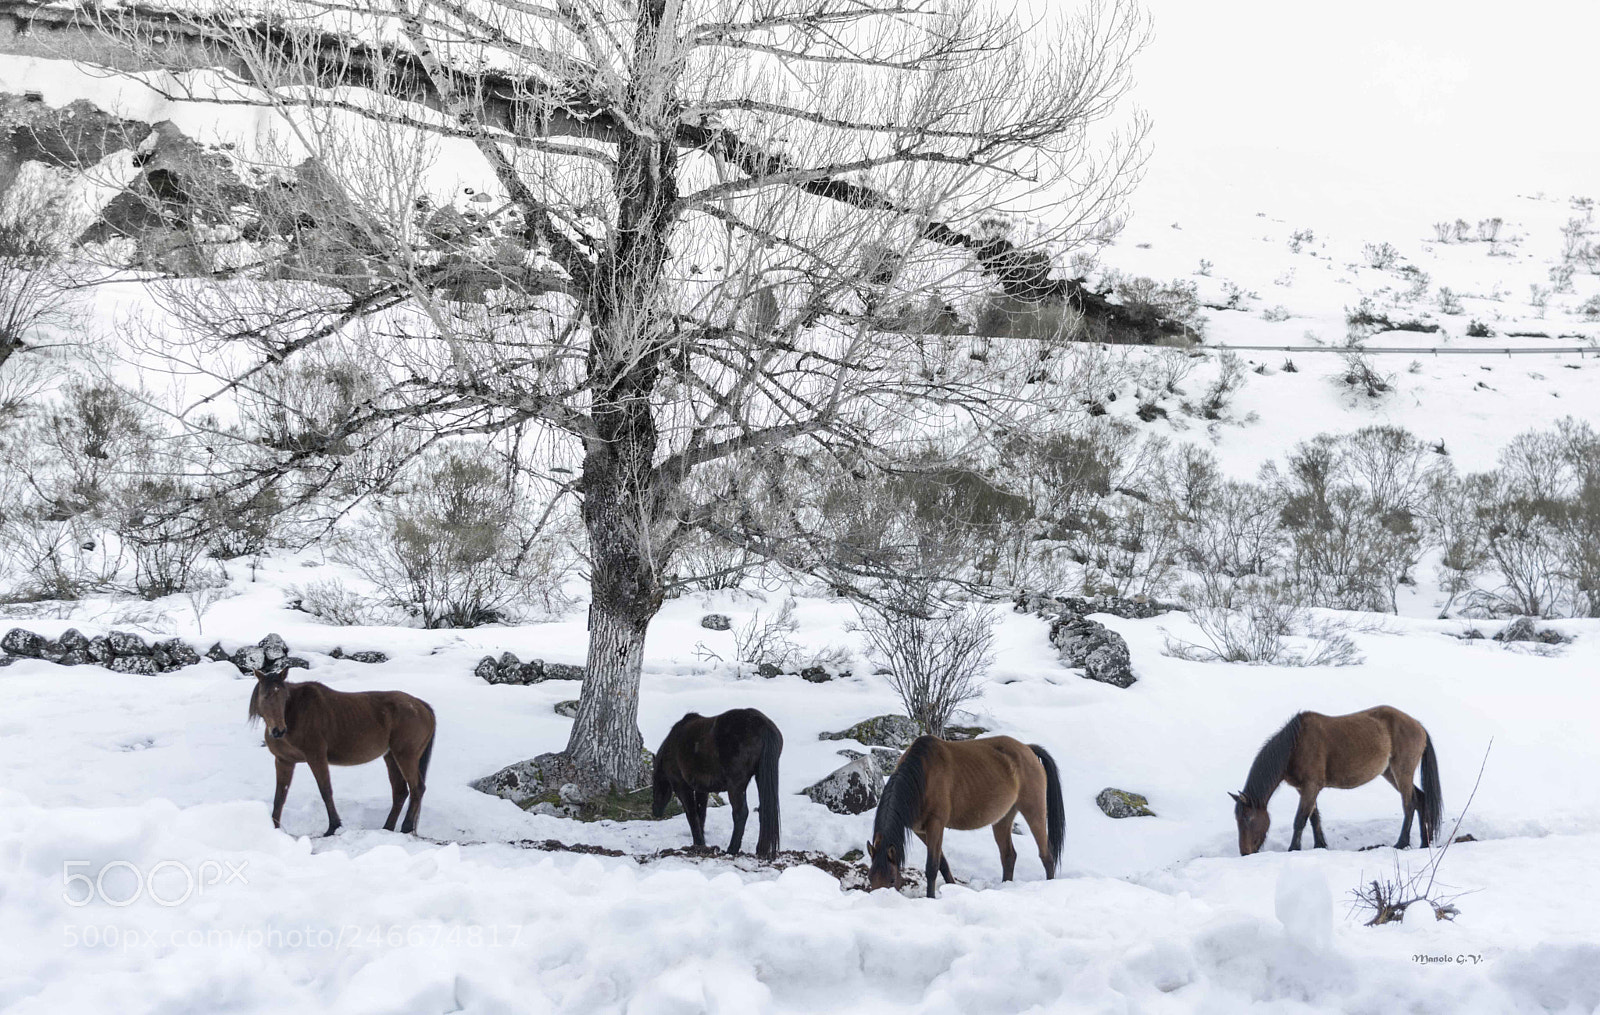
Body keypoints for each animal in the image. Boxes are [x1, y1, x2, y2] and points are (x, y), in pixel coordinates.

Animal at [248, 669, 437, 836]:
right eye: (264, 696)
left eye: (283, 697)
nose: (278, 730)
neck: (295, 714)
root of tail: (422, 706)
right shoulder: (284, 761)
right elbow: (280, 796)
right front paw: (274, 828)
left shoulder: (316, 757)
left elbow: (325, 790)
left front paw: (333, 827)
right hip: (391, 757)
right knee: (400, 792)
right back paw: (387, 828)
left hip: (406, 756)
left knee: (417, 788)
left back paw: (406, 827)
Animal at [651, 708, 783, 858]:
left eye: (655, 783)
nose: (655, 811)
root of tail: (763, 725)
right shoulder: (701, 789)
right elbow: (701, 814)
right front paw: (700, 843)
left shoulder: (682, 787)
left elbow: (692, 814)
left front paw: (698, 843)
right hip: (759, 778)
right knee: (763, 812)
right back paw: (760, 850)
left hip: (736, 786)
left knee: (740, 813)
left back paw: (732, 850)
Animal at [867, 735, 1065, 898]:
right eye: (870, 878)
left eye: (892, 879)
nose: (879, 899)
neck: (921, 777)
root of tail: (1028, 749)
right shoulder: (920, 831)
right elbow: (942, 864)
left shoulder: (936, 824)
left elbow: (932, 866)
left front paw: (931, 897)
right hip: (1003, 818)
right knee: (1008, 856)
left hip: (1034, 811)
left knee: (1046, 855)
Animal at [1230, 706, 1441, 855]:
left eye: (1248, 818)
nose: (1245, 852)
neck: (1295, 746)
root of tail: (1418, 725)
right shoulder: (1305, 789)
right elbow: (1314, 818)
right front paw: (1320, 845)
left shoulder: (1310, 786)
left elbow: (1300, 819)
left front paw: (1293, 849)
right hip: (1390, 773)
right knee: (1420, 799)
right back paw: (1424, 843)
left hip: (1402, 772)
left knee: (1409, 804)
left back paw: (1401, 843)